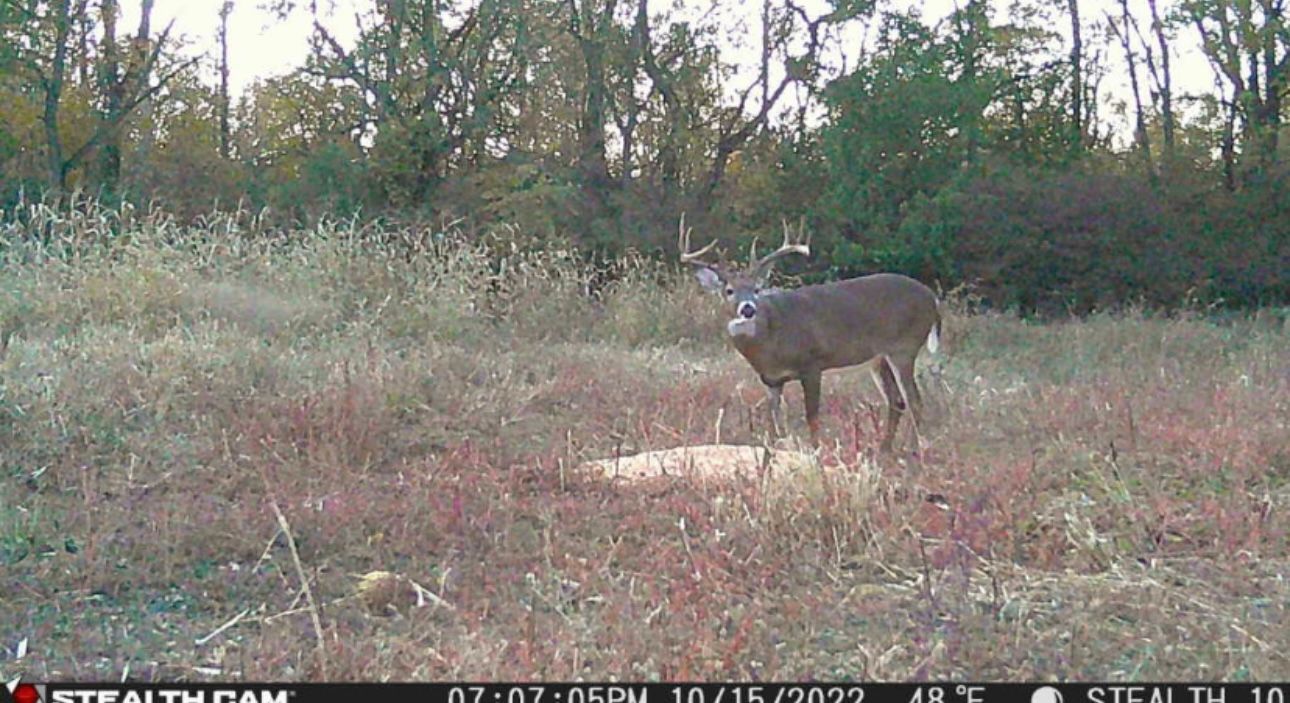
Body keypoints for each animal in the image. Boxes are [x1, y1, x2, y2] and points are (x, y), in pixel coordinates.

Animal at [679, 216, 942, 452]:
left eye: (757, 289)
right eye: (729, 291)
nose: (748, 308)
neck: (772, 342)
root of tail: (933, 299)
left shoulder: (813, 364)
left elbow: (812, 416)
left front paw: (816, 453)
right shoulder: (771, 380)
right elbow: (773, 425)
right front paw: (769, 460)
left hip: (904, 346)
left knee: (914, 400)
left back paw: (911, 451)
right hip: (879, 360)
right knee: (896, 401)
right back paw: (884, 450)